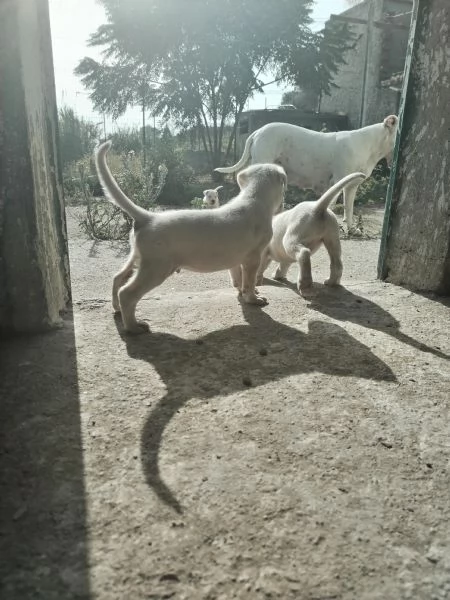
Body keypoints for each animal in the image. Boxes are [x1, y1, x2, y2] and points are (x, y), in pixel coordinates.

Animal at [94, 143, 288, 336]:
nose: (284, 204)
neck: (254, 197)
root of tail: (148, 217)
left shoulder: (237, 260)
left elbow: (238, 279)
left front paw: (243, 293)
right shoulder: (253, 259)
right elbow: (249, 280)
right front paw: (253, 299)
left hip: (137, 259)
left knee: (118, 278)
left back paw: (117, 309)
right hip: (156, 268)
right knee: (127, 293)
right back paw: (134, 327)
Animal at [216, 116, 400, 231]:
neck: (370, 145)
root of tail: (258, 131)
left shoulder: (351, 186)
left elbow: (349, 208)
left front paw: (351, 229)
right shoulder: (338, 182)